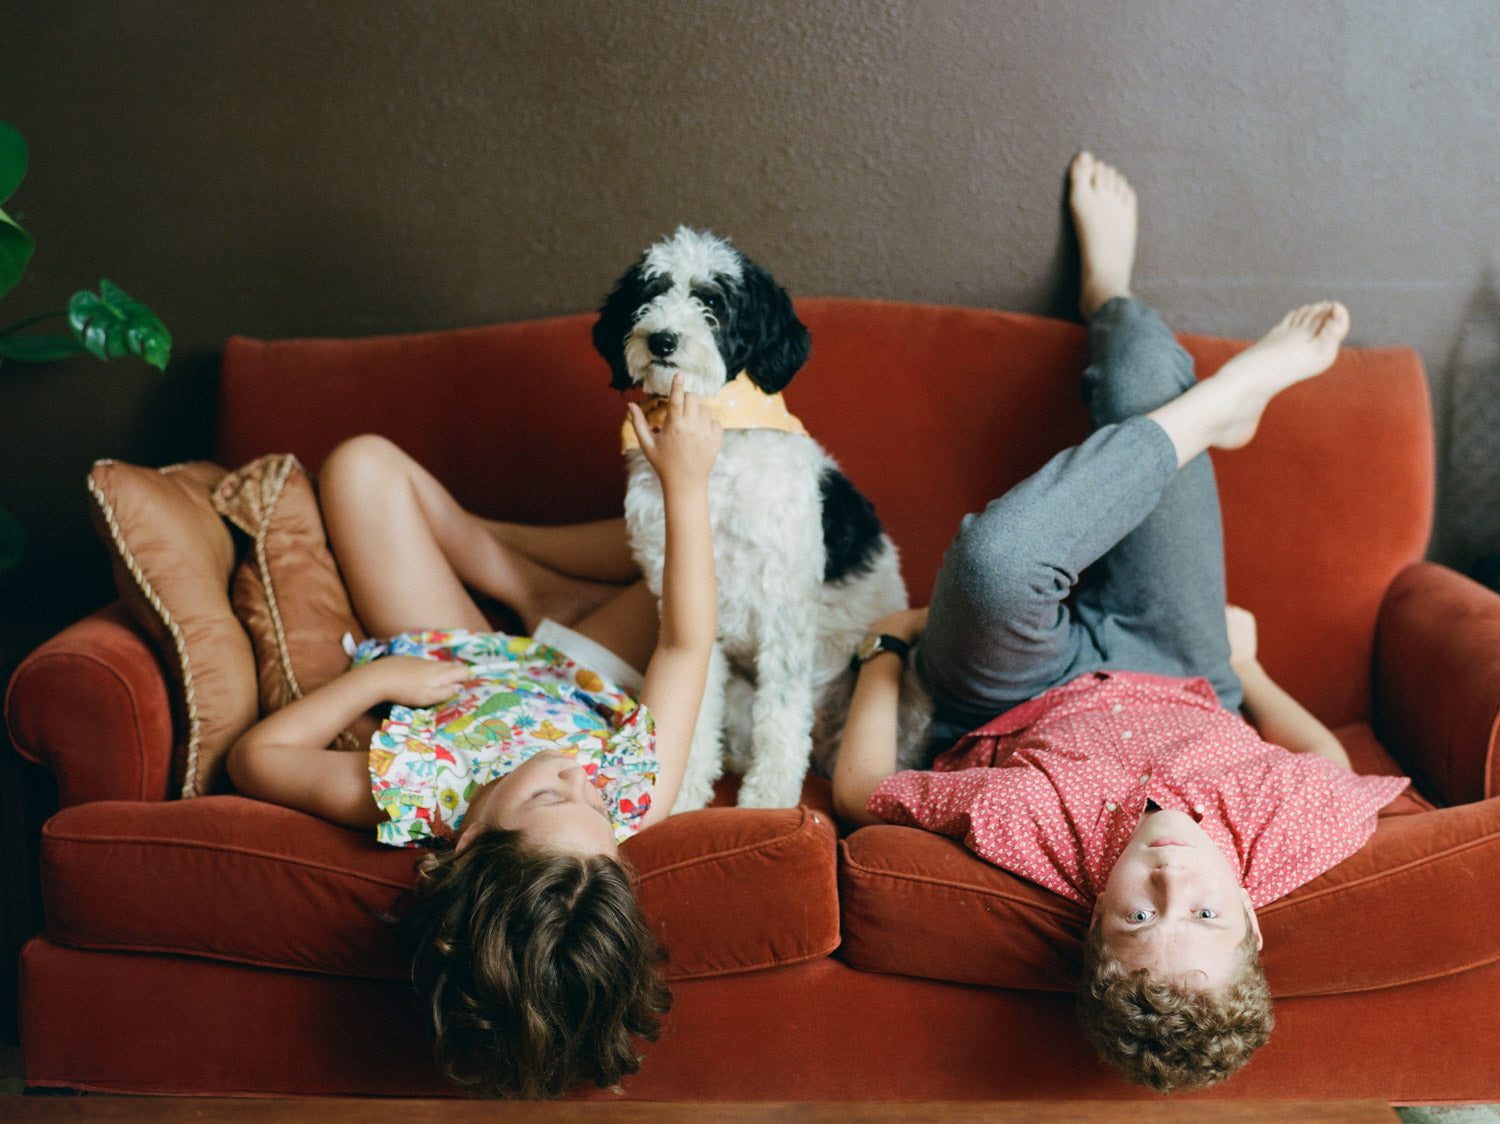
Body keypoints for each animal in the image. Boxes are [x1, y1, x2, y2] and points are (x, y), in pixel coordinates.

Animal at [594, 228, 924, 804]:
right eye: (649, 293)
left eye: (713, 302)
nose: (661, 339)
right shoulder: (683, 598)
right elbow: (696, 705)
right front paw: (685, 790)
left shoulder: (784, 607)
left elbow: (783, 711)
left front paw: (769, 795)